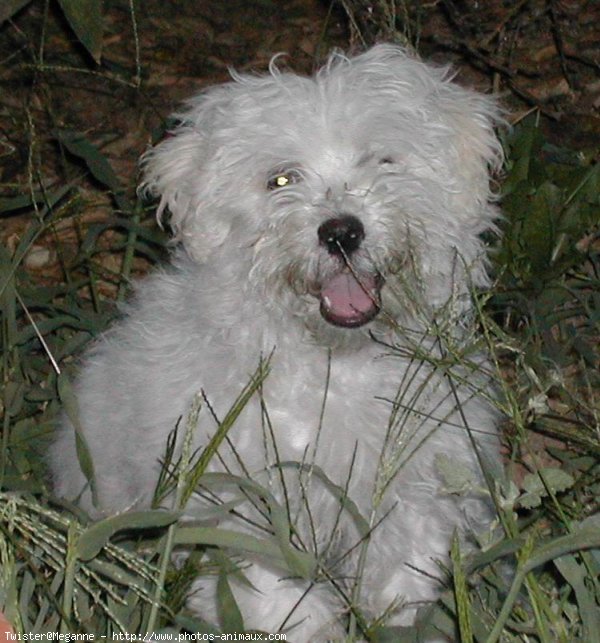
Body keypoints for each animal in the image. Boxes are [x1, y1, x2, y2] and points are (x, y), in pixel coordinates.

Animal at [49, 44, 504, 640]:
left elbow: (405, 576)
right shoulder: (240, 502)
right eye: (282, 181)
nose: (341, 232)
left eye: (381, 161)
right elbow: (277, 600)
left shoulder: (418, 485)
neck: (334, 363)